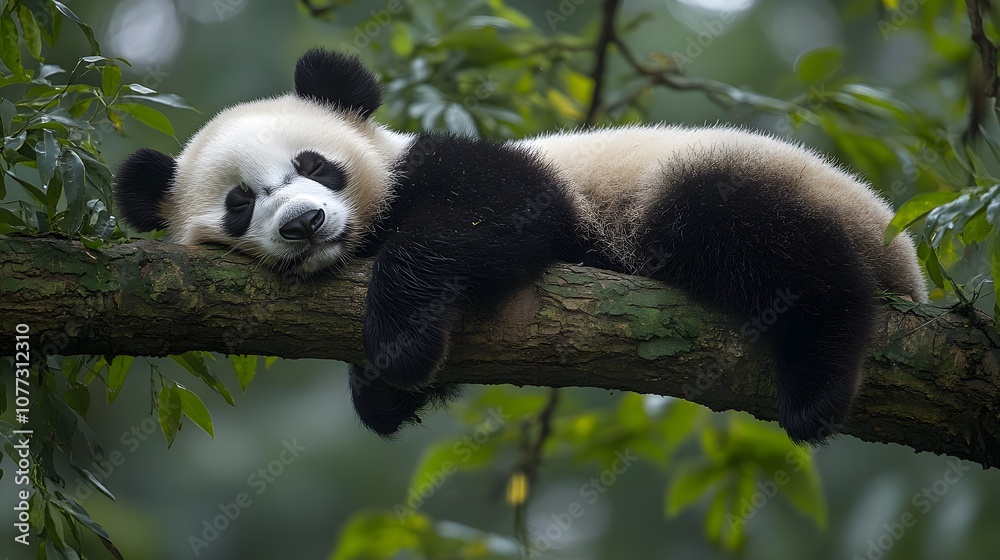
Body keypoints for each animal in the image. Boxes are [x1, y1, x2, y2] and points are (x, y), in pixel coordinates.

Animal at [114, 49, 927, 444]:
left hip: (710, 185)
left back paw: (818, 381)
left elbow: (489, 218)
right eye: (240, 204)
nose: (304, 224)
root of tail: (901, 254)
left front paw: (398, 339)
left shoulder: (487, 172)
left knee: (767, 247)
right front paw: (380, 387)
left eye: (315, 165)